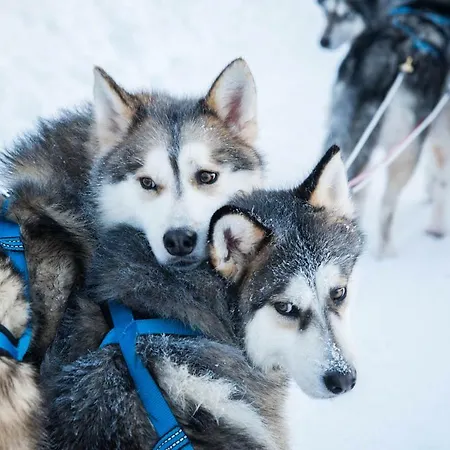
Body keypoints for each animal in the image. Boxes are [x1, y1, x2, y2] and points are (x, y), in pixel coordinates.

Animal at [323, 1, 450, 256]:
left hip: (343, 135)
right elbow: (441, 178)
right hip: (405, 150)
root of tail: (378, 61)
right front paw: (437, 228)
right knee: (386, 207)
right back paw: (387, 252)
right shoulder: (441, 130)